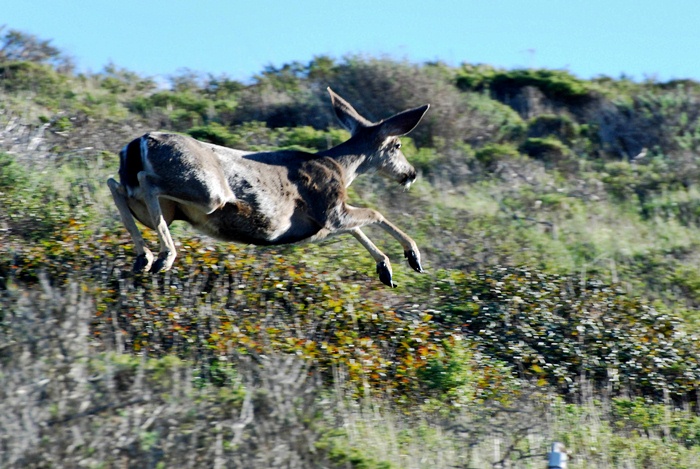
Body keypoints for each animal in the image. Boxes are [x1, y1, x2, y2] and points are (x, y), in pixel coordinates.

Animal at [106, 86, 430, 288]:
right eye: (397, 145)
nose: (411, 173)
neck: (341, 167)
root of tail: (138, 143)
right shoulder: (328, 207)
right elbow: (373, 214)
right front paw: (412, 256)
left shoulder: (324, 223)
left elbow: (357, 228)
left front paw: (386, 269)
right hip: (207, 191)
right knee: (145, 182)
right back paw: (163, 257)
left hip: (166, 207)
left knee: (116, 185)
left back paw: (144, 258)